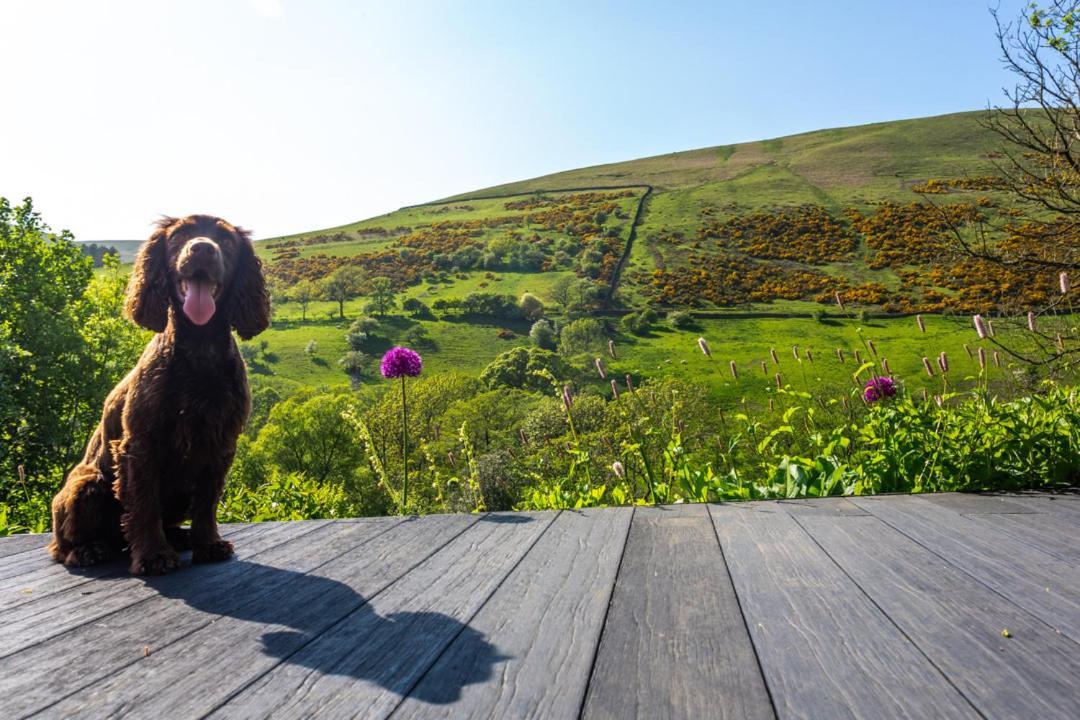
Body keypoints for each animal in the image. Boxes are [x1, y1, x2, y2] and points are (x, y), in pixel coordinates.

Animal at [48, 213, 270, 574]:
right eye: (179, 236)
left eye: (226, 241)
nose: (202, 250)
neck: (199, 349)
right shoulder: (140, 445)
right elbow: (144, 504)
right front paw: (153, 555)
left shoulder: (220, 444)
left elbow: (207, 503)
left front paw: (208, 544)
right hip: (87, 483)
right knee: (60, 545)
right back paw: (88, 550)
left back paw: (179, 537)